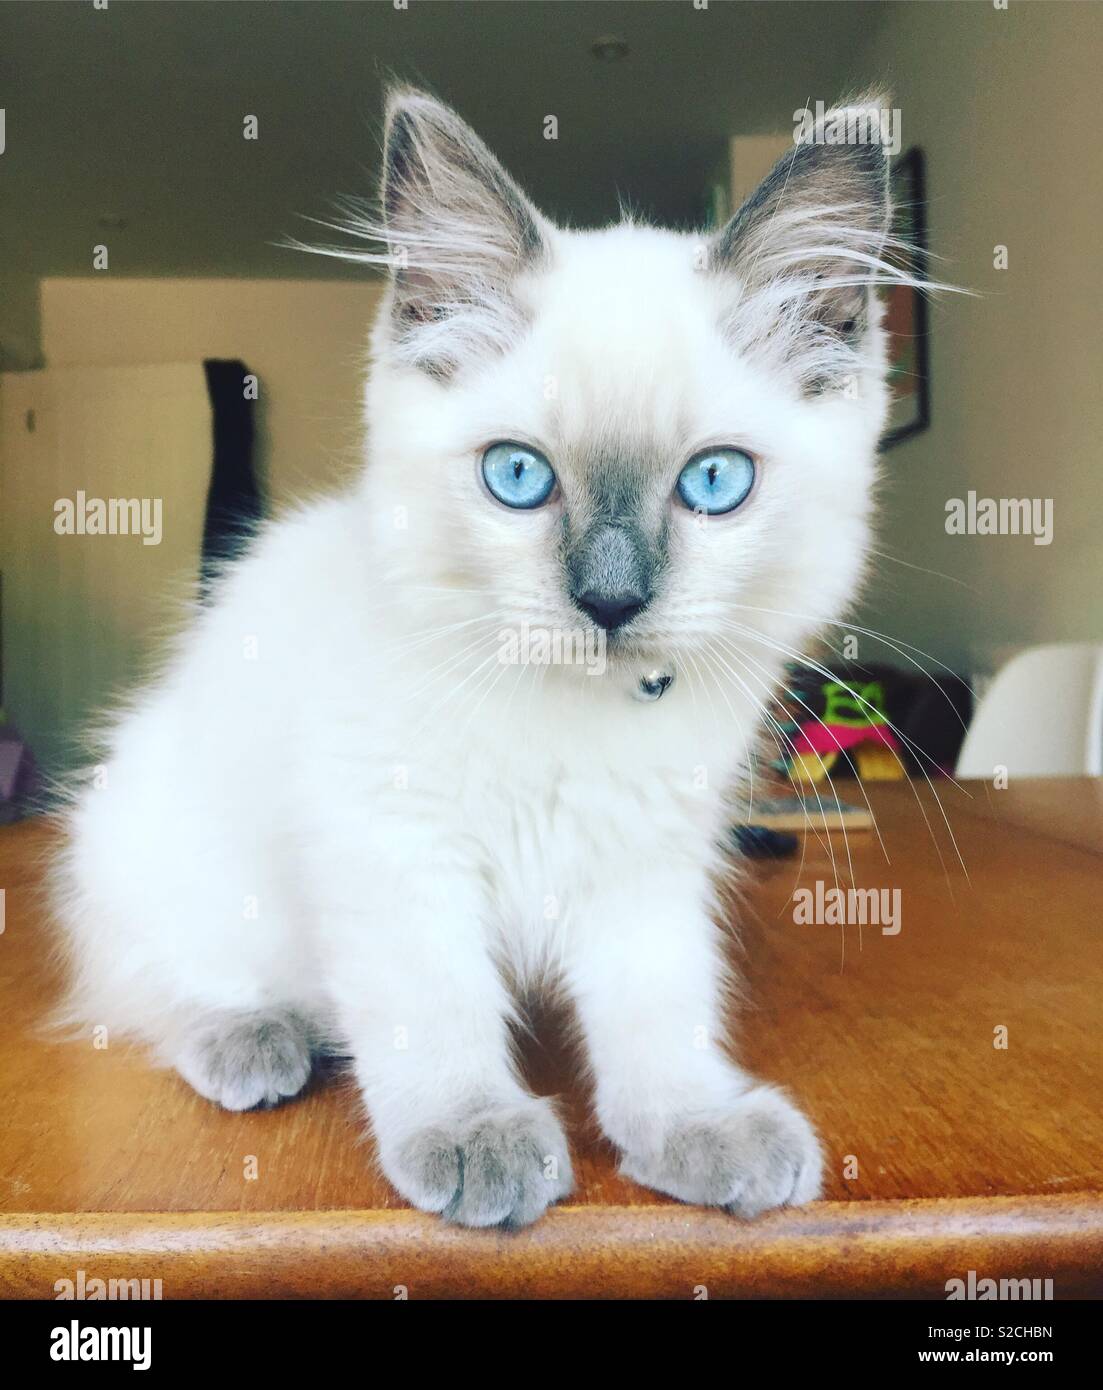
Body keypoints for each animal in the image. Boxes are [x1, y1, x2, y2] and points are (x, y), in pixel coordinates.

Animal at [51, 86, 900, 1228]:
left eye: (714, 483)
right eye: (517, 477)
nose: (610, 600)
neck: (572, 714)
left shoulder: (642, 862)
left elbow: (658, 1017)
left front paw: (692, 1130)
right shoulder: (392, 842)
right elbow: (434, 1009)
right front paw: (472, 1138)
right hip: (166, 851)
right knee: (153, 984)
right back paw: (259, 1039)